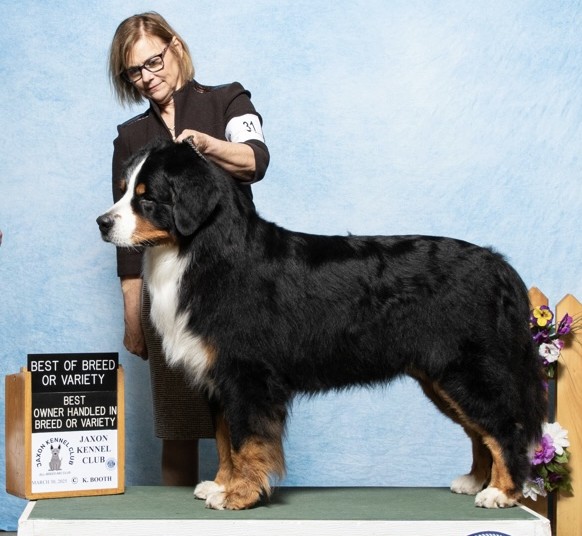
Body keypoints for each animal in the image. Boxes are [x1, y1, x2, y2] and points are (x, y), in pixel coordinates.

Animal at [97, 138, 545, 510]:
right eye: (123, 190)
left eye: (147, 198)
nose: (102, 222)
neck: (199, 253)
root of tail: (497, 263)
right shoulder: (219, 378)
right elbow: (226, 440)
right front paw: (221, 484)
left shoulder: (247, 375)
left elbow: (246, 441)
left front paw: (239, 495)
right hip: (441, 378)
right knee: (479, 430)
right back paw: (475, 481)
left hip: (466, 369)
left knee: (505, 426)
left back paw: (501, 492)